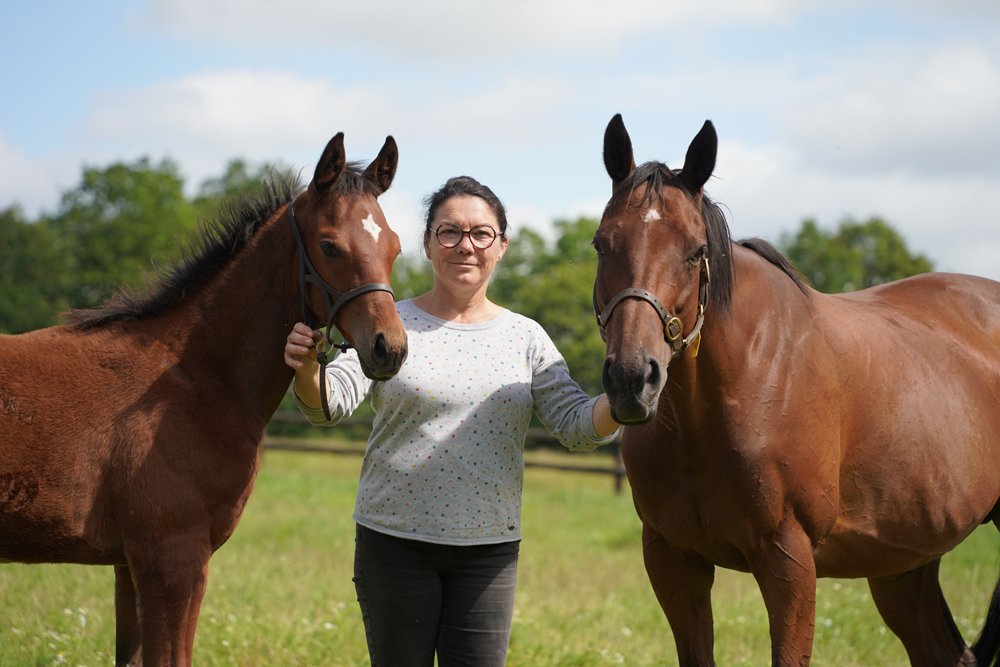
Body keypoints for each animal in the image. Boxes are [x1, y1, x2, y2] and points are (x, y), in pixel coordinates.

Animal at [0, 131, 409, 666]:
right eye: (328, 245)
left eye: (395, 247)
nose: (390, 349)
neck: (194, 379)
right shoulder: (173, 557)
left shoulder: (129, 564)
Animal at [593, 113, 1000, 666]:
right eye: (601, 243)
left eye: (696, 252)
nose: (632, 379)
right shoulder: (672, 558)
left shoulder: (789, 559)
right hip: (904, 561)